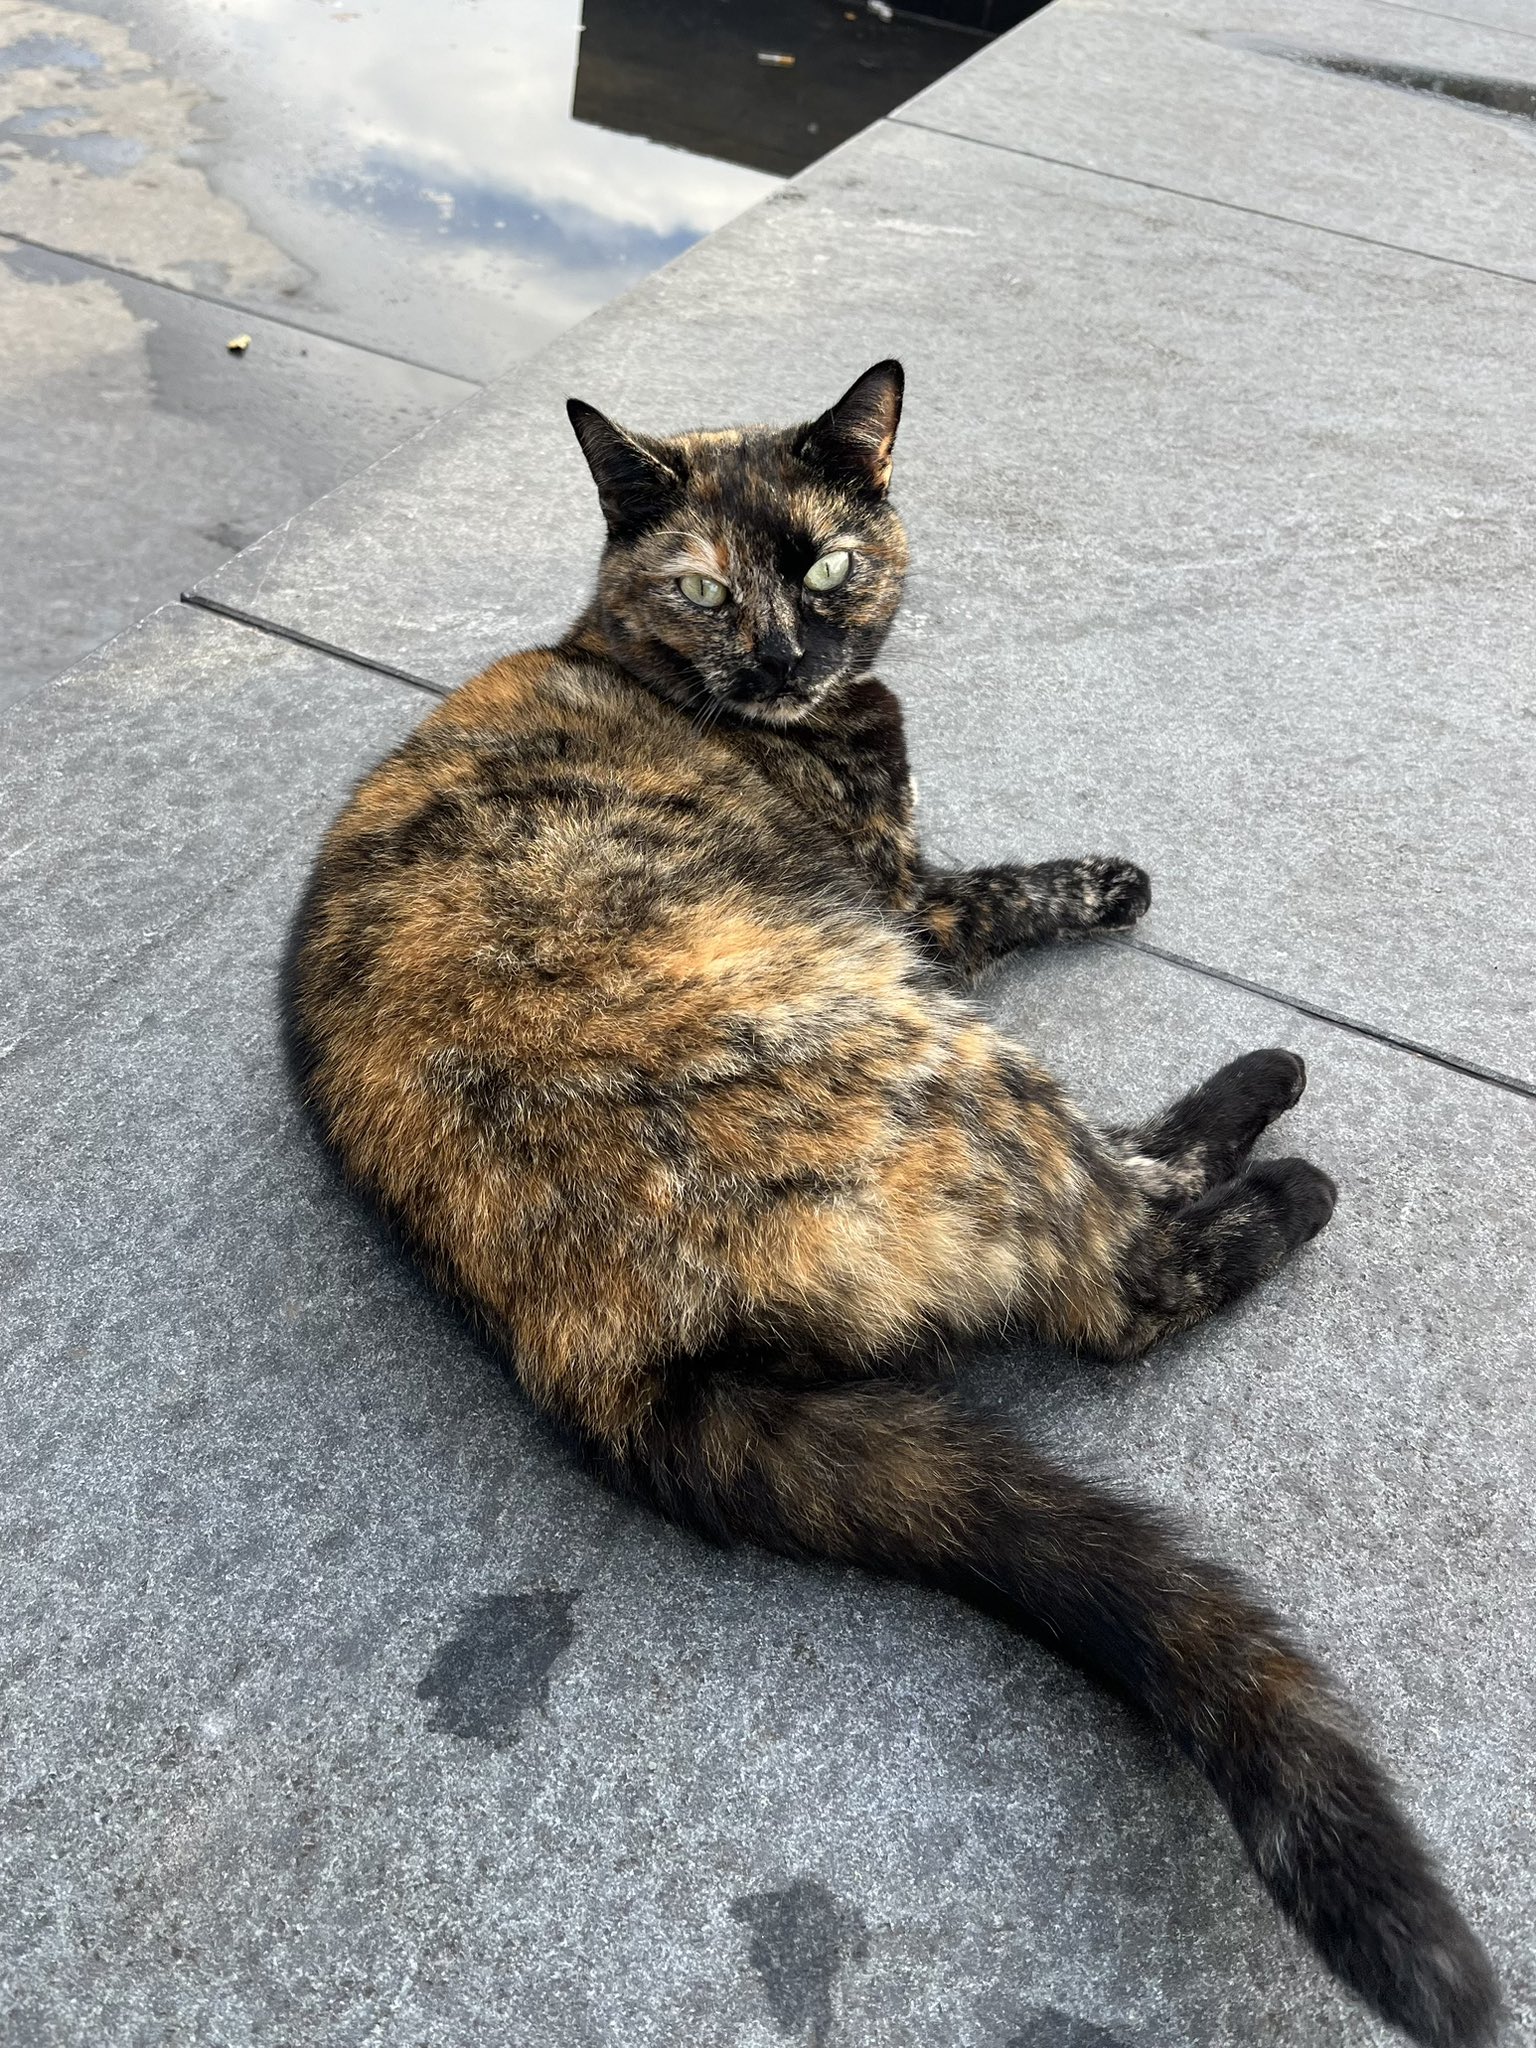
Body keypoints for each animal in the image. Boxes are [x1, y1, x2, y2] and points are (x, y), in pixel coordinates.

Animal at [285, 362, 1498, 2047]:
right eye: (706, 587)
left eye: (826, 564)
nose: (783, 655)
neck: (649, 662)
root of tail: (582, 1351)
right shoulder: (914, 902)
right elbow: (1001, 885)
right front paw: (1109, 882)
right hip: (911, 1022)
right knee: (1123, 1270)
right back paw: (1281, 1136)